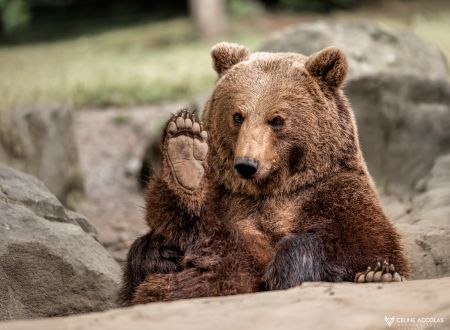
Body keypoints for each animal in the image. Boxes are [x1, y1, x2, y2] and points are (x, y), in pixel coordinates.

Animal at [118, 42, 410, 306]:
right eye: (237, 116)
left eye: (277, 119)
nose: (247, 164)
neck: (269, 188)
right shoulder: (225, 199)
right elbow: (177, 228)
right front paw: (186, 152)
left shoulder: (333, 191)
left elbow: (362, 243)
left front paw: (286, 271)